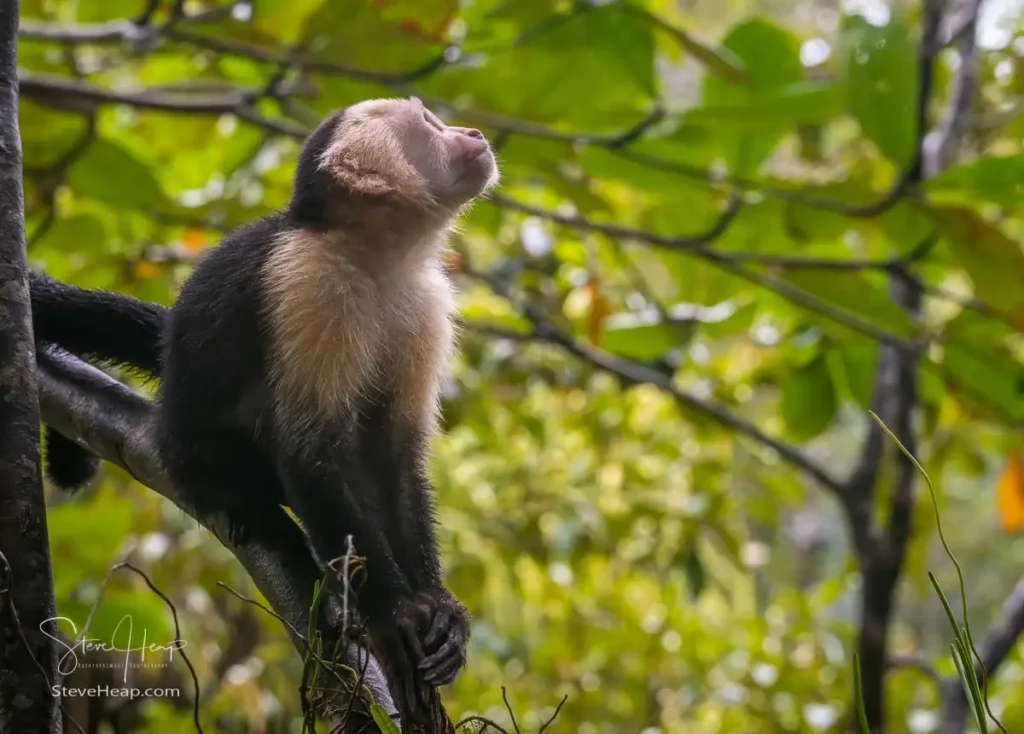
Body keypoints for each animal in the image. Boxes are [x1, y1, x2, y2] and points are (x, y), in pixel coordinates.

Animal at [30, 97, 499, 728]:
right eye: (429, 123)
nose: (471, 132)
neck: (377, 256)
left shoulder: (424, 302)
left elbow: (396, 455)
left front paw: (438, 607)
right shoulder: (308, 283)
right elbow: (310, 451)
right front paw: (394, 615)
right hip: (196, 450)